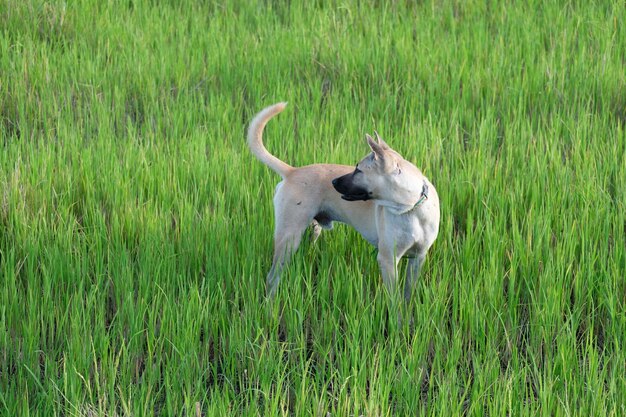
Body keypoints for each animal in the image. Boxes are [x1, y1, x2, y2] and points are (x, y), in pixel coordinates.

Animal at [245, 103, 438, 300]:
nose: (333, 182)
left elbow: (408, 293)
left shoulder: (418, 258)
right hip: (288, 236)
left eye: (358, 170)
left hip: (311, 230)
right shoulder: (388, 259)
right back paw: (271, 304)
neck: (411, 208)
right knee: (272, 278)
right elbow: (394, 300)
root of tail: (292, 172)